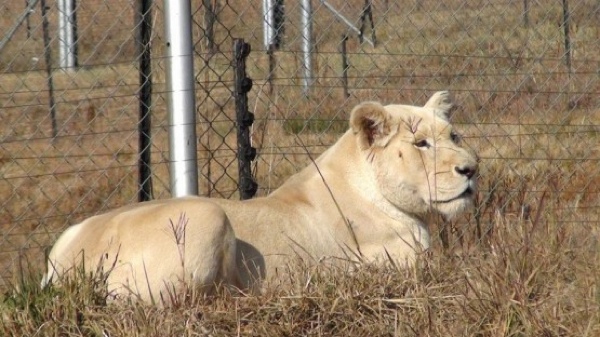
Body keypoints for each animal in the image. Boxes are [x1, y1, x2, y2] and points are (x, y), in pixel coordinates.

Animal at [42, 91, 478, 302]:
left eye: (454, 136)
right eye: (421, 144)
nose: (471, 169)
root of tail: (70, 263)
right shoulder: (401, 263)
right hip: (205, 216)